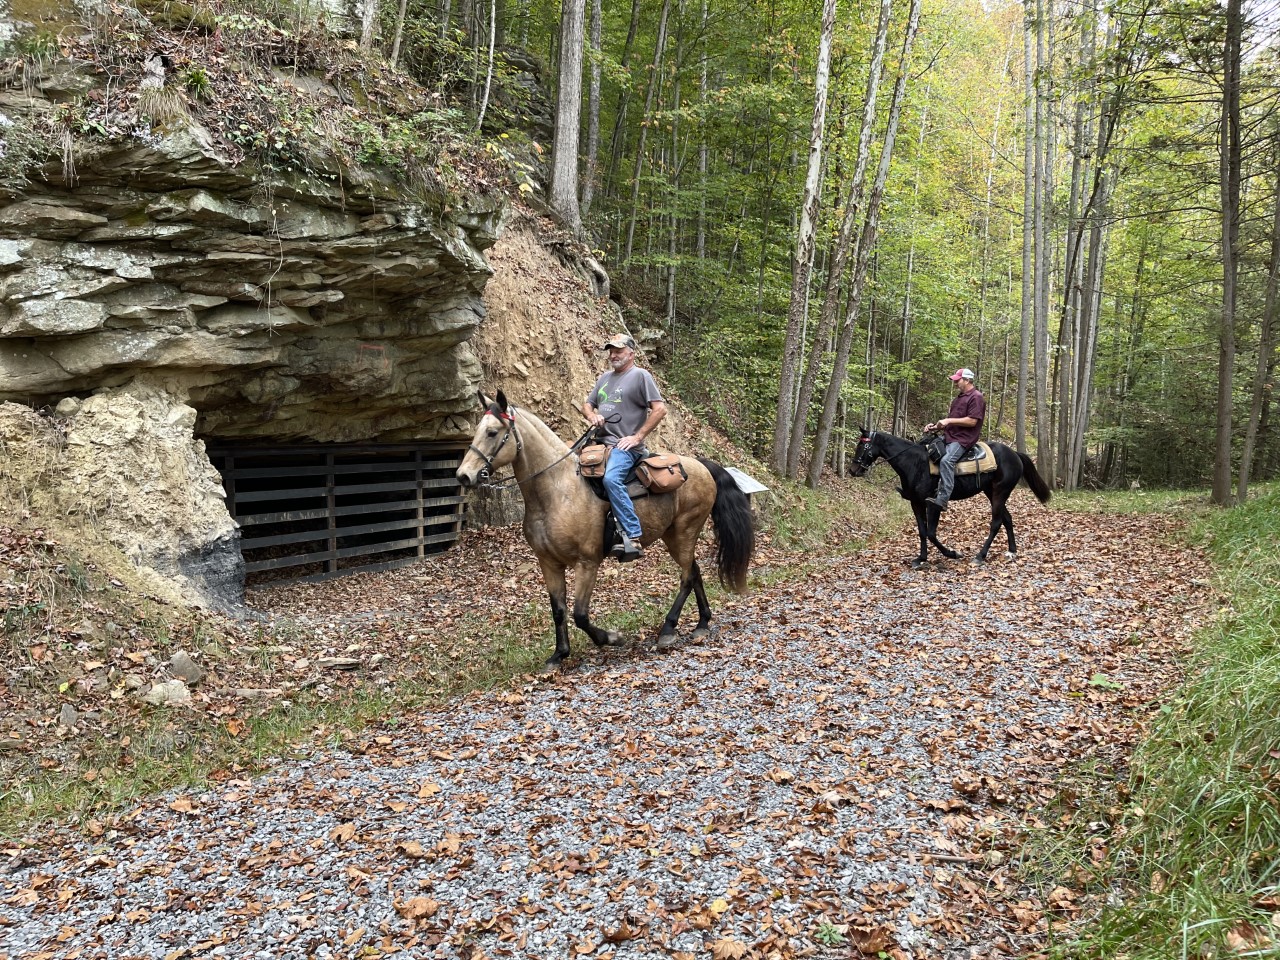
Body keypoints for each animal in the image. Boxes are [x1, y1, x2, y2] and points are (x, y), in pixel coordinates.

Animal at [453, 391, 747, 670]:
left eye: (492, 432)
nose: (463, 475)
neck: (557, 491)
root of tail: (700, 465)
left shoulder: (587, 563)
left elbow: (580, 614)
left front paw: (612, 638)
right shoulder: (549, 563)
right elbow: (558, 611)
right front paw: (559, 655)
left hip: (684, 532)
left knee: (687, 577)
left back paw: (668, 629)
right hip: (674, 536)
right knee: (694, 572)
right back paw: (702, 623)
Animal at [849, 430, 1049, 570]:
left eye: (863, 446)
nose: (853, 470)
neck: (914, 463)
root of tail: (1014, 454)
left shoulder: (933, 505)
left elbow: (931, 533)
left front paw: (952, 553)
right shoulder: (916, 503)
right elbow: (922, 531)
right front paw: (921, 559)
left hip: (1001, 492)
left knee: (996, 522)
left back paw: (980, 555)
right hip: (991, 492)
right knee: (1007, 518)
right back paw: (1012, 551)